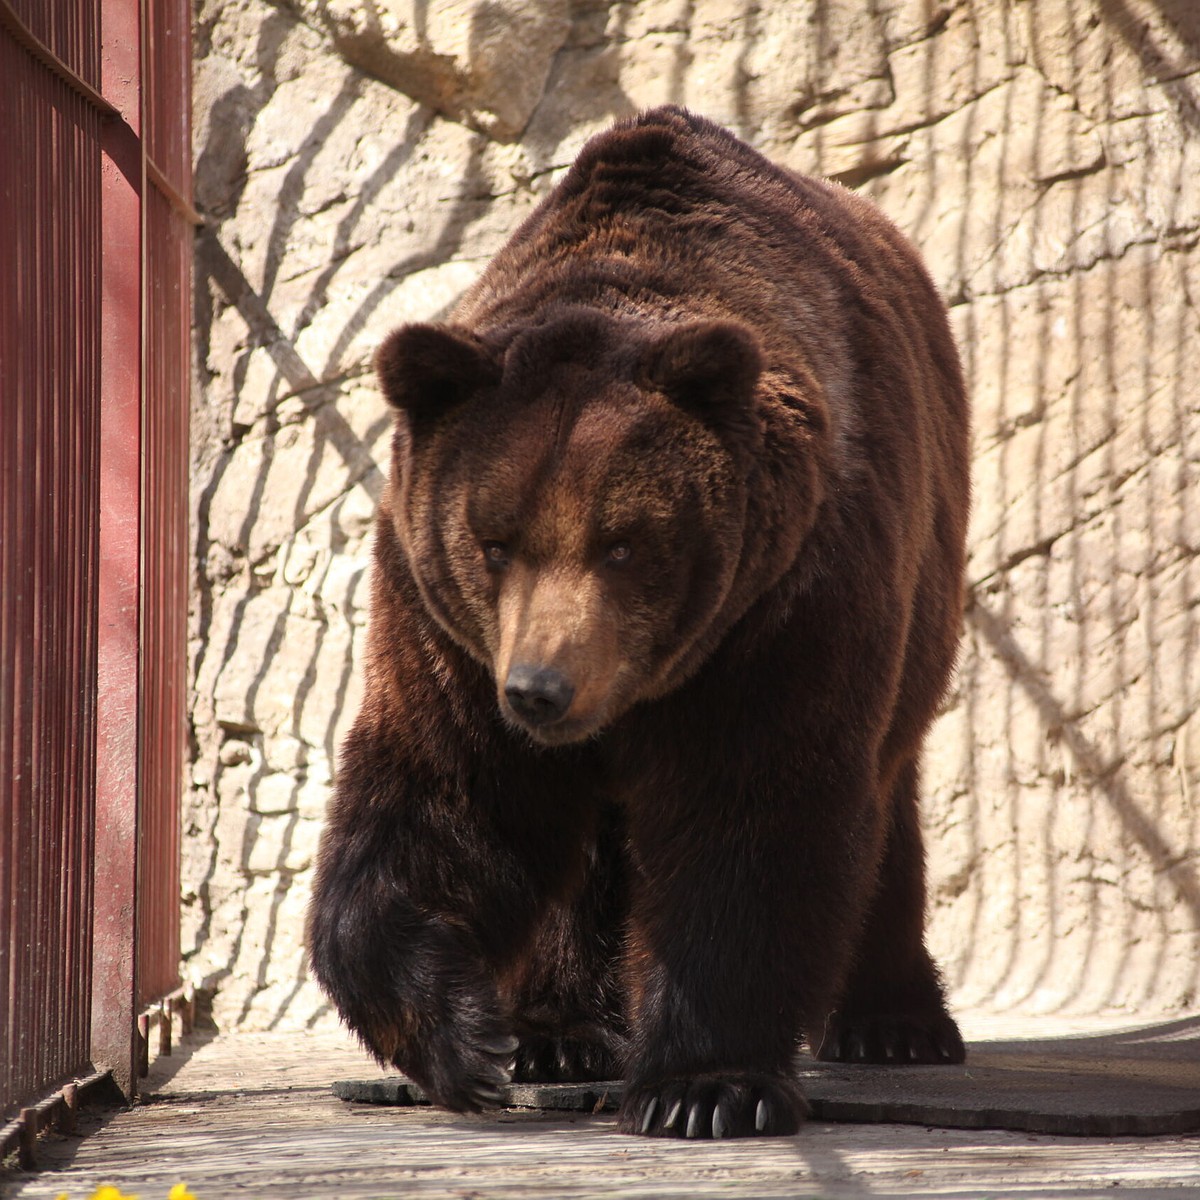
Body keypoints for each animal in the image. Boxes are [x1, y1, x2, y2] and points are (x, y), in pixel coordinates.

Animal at [307, 100, 964, 1132]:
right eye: (495, 540)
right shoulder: (442, 629)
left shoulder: (784, 604)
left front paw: (705, 1085)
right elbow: (446, 803)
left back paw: (894, 1022)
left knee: (885, 798)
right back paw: (559, 1030)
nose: (541, 691)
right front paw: (469, 1039)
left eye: (623, 543)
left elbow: (752, 818)